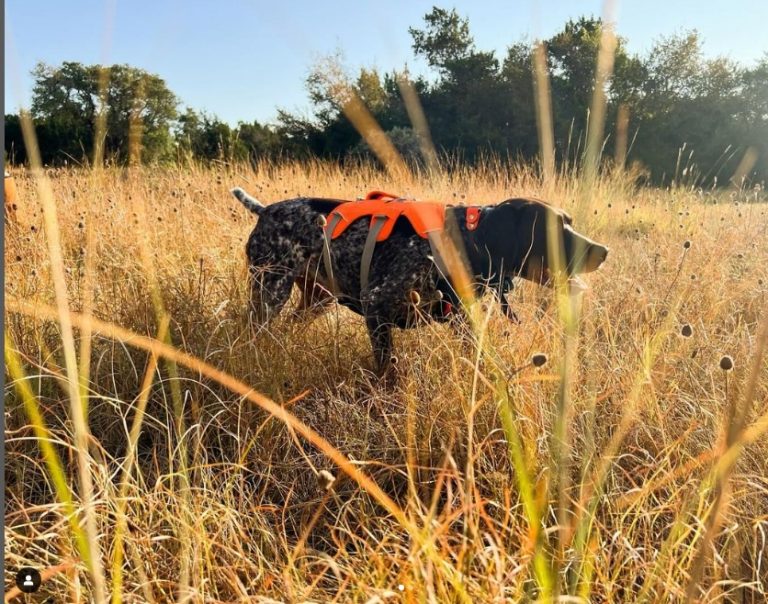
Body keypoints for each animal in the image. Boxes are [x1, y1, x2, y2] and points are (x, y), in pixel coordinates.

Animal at [231, 188, 608, 372]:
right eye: (554, 229)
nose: (603, 251)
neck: (465, 241)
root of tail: (266, 210)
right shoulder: (376, 305)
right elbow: (388, 370)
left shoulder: (461, 321)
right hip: (270, 290)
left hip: (315, 297)